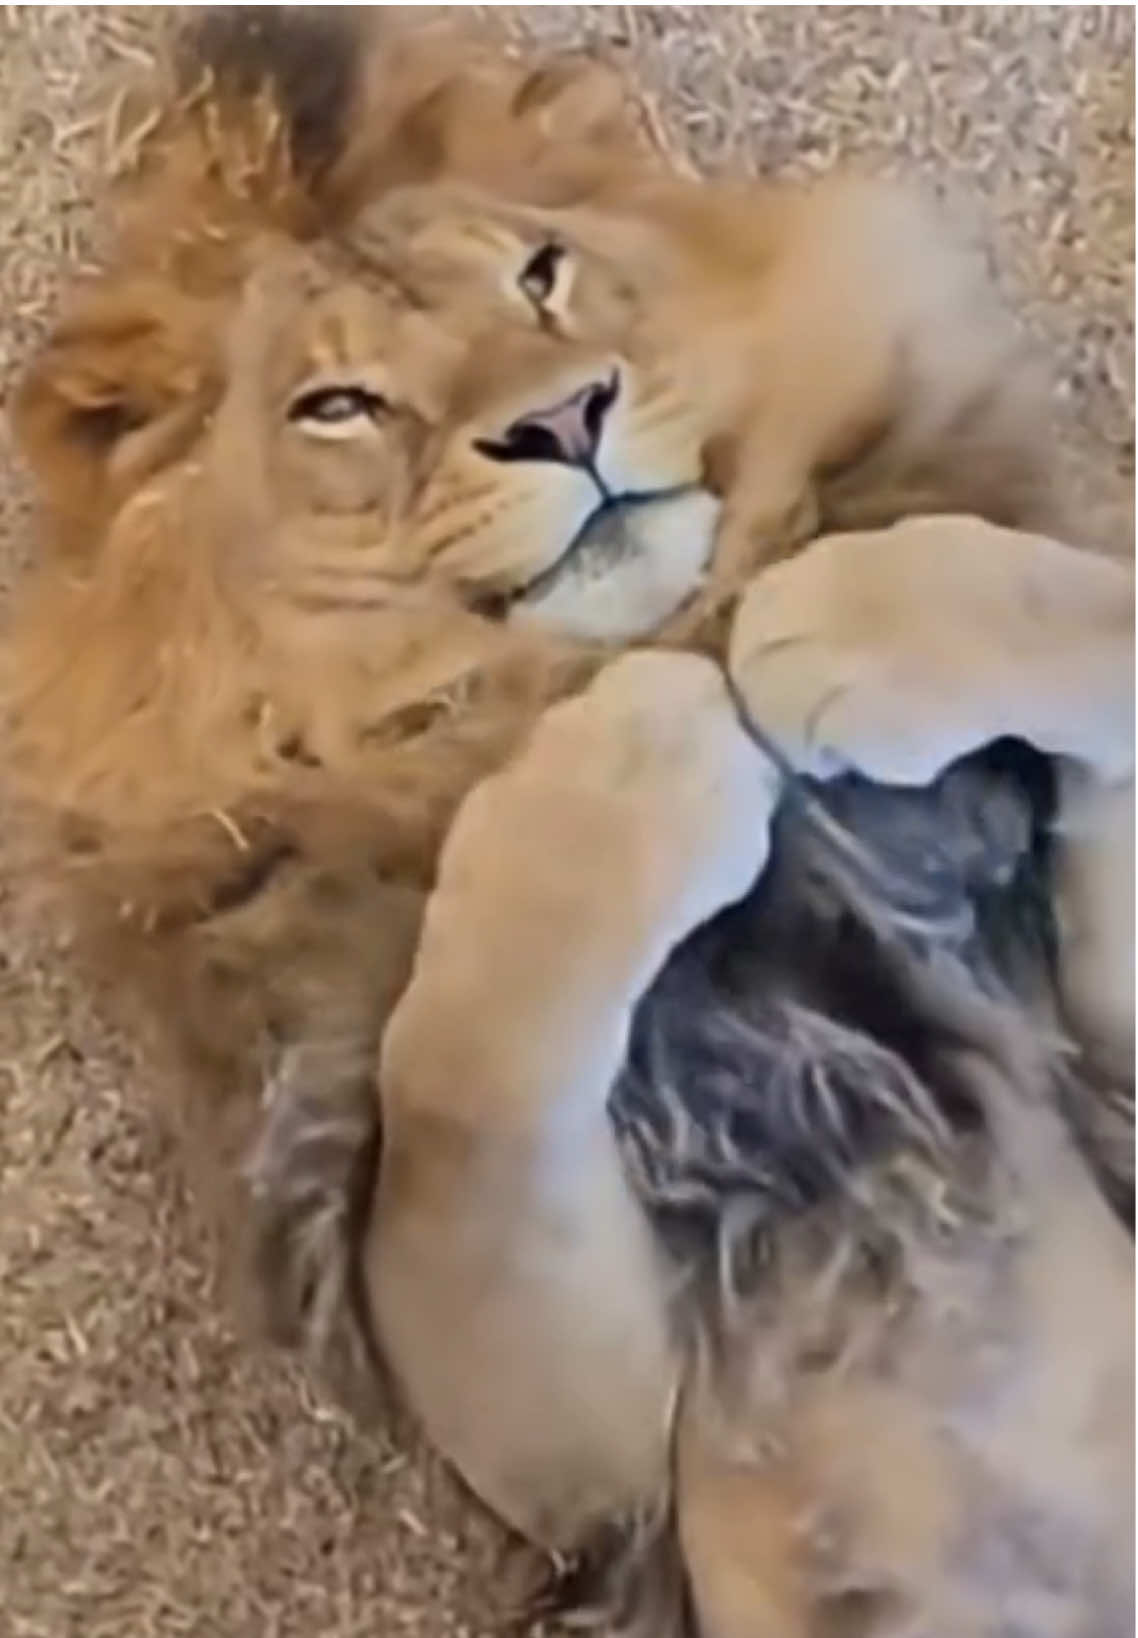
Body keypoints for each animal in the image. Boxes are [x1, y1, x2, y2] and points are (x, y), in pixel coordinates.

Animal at [3, 12, 1133, 1635]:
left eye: (538, 274)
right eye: (335, 405)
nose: (559, 417)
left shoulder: (1087, 1023)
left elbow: (1075, 608)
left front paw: (829, 611)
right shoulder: (588, 1435)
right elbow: (461, 1078)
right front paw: (633, 732)